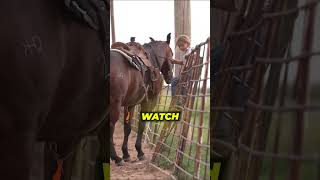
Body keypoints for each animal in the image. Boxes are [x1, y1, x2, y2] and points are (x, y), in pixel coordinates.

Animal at [110, 33, 175, 165]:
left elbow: (127, 127)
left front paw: (126, 153)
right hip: (114, 105)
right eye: (172, 53)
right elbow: (142, 124)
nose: (170, 76)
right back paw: (116, 157)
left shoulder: (130, 104)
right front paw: (139, 152)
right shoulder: (149, 101)